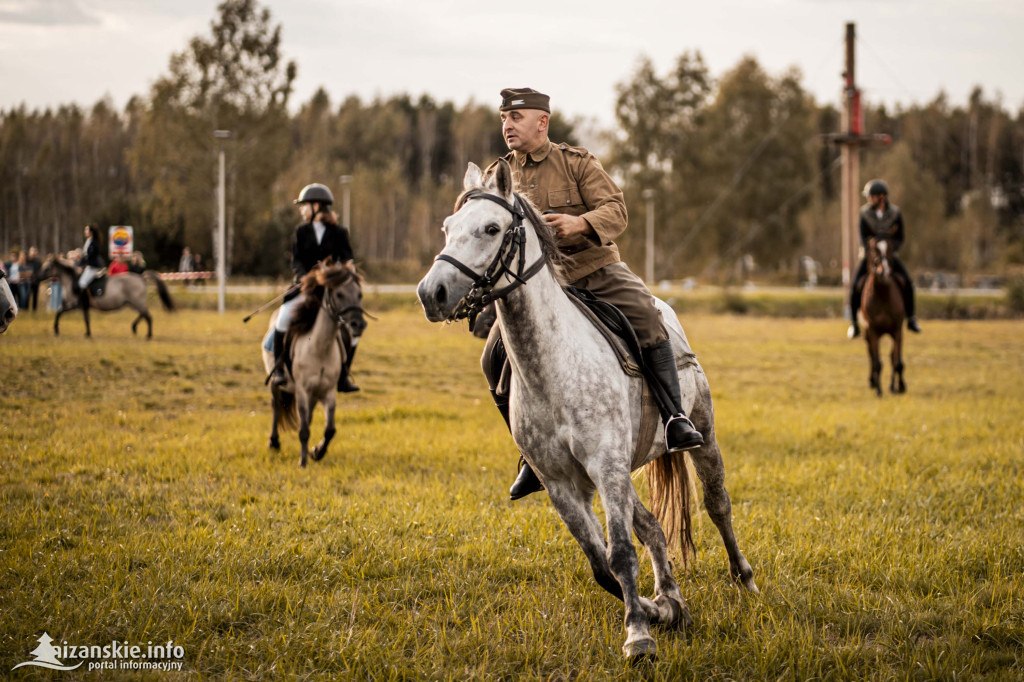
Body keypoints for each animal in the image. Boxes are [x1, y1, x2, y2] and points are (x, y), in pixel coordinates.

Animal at [40, 256, 174, 335]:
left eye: (47, 267)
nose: (37, 277)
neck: (72, 282)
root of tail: (141, 277)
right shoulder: (84, 306)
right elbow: (86, 319)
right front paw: (88, 333)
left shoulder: (76, 304)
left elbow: (59, 311)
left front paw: (56, 329)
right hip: (133, 302)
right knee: (143, 314)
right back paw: (134, 328)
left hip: (136, 301)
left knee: (147, 316)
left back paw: (147, 334)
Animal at [417, 160, 761, 659]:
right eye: (447, 227)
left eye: (492, 228)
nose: (432, 293)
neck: (554, 367)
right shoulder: (562, 484)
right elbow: (602, 563)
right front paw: (656, 610)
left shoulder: (605, 465)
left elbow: (620, 553)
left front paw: (639, 635)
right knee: (653, 527)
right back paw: (670, 597)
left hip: (701, 437)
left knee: (718, 505)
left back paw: (744, 580)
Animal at [860, 236, 909, 393]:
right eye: (873, 250)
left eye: (890, 249)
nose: (885, 272)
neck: (882, 295)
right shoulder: (873, 331)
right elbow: (877, 362)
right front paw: (878, 389)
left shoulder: (897, 330)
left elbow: (895, 361)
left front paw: (895, 387)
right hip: (867, 334)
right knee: (872, 356)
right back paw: (873, 381)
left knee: (893, 358)